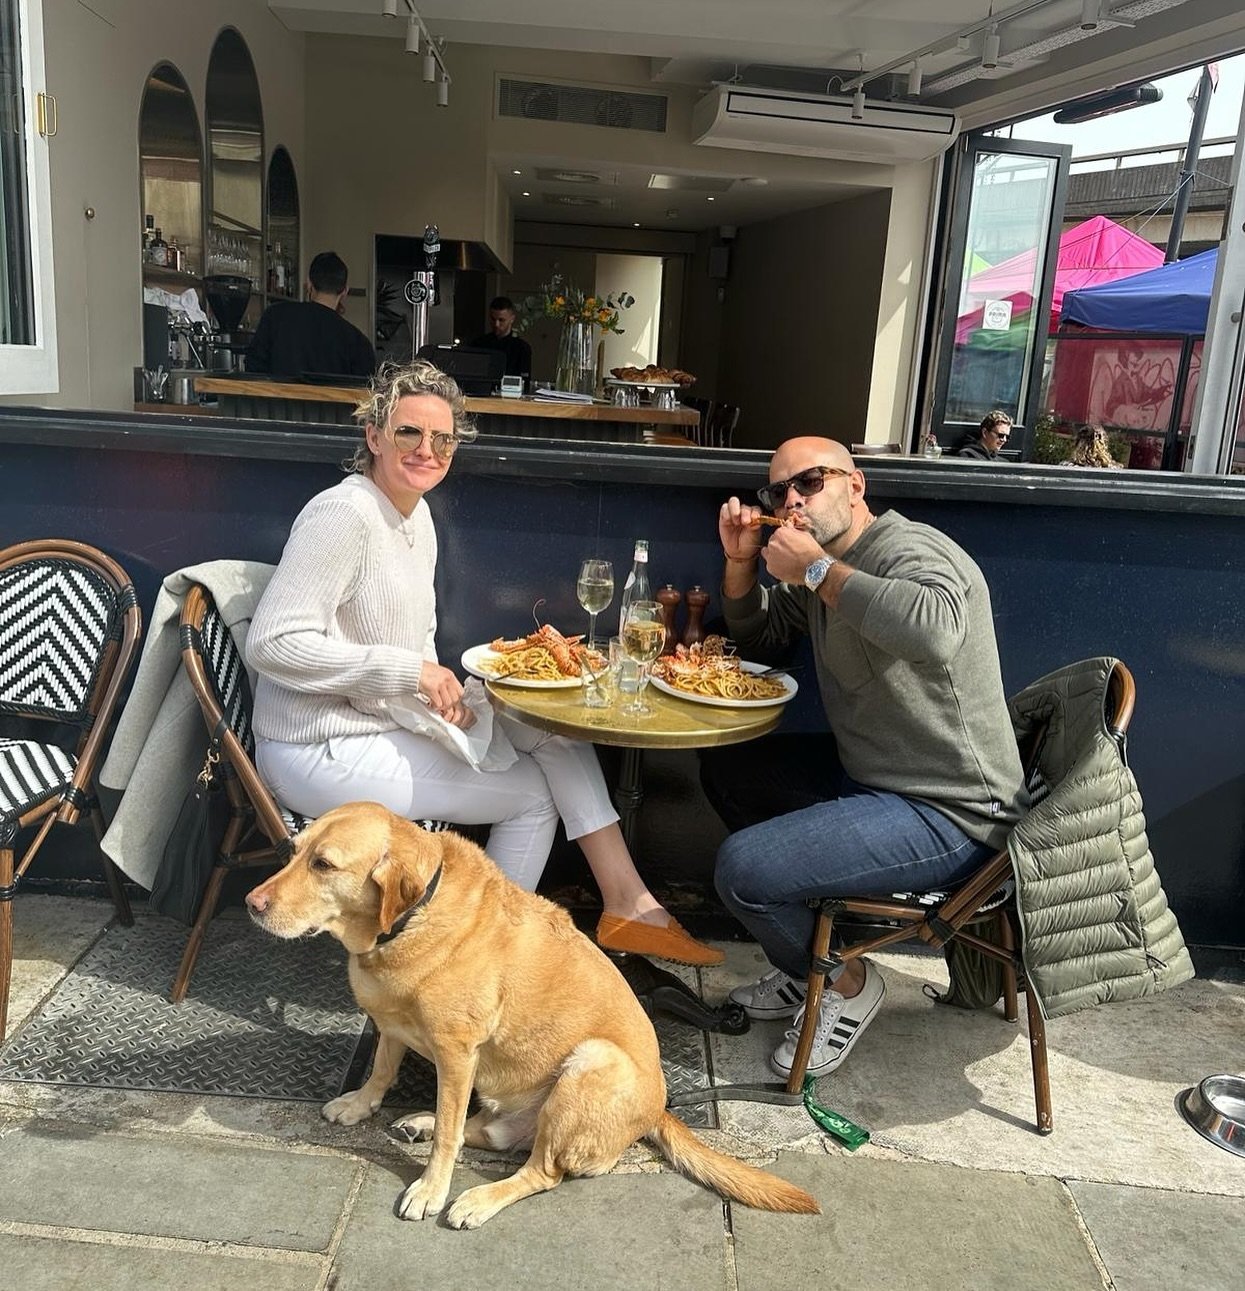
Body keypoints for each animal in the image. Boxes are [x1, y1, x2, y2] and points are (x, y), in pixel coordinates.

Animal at [247, 800, 821, 1223]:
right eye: (293, 850)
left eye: (324, 864)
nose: (251, 904)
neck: (408, 921)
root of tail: (659, 1109)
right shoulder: (391, 1024)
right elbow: (383, 1071)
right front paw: (361, 1105)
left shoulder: (457, 1054)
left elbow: (450, 1135)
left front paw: (431, 1189)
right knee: (487, 1132)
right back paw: (419, 1122)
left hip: (590, 1064)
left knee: (539, 1171)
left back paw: (476, 1199)